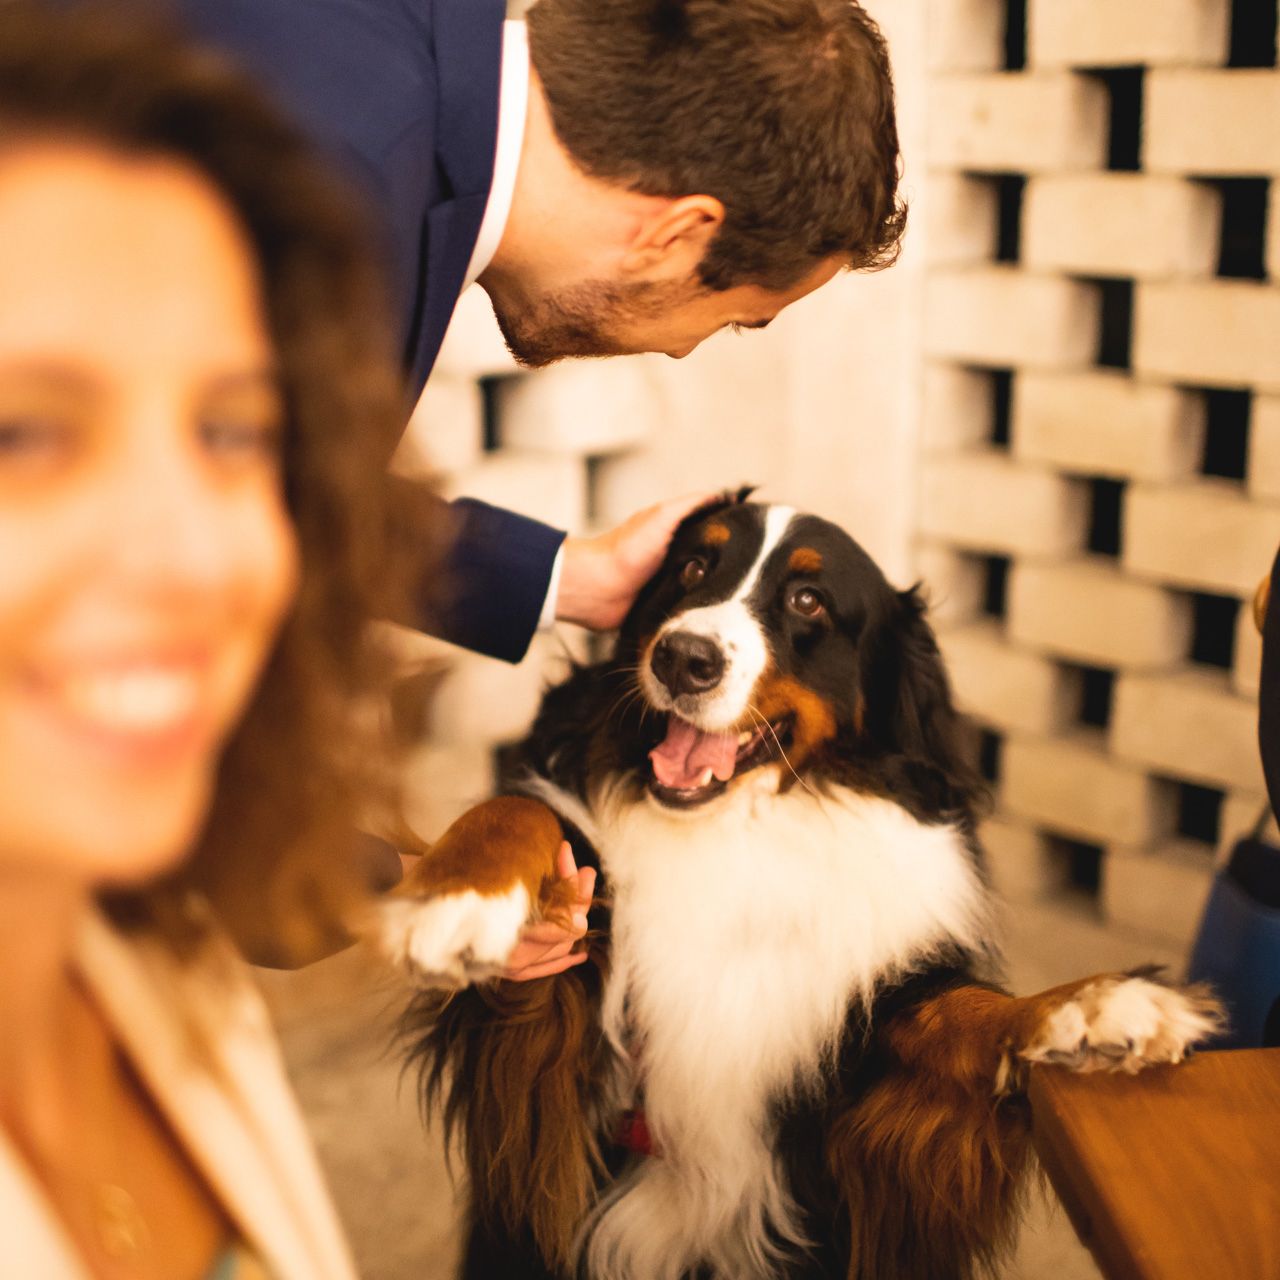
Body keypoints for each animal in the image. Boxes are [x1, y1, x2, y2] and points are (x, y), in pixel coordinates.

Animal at [376, 491, 1218, 1280]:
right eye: (692, 567)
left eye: (809, 602)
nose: (683, 657)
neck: (742, 828)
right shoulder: (547, 1059)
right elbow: (518, 812)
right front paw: (454, 900)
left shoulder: (865, 1083)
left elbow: (964, 1010)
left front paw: (1098, 1008)